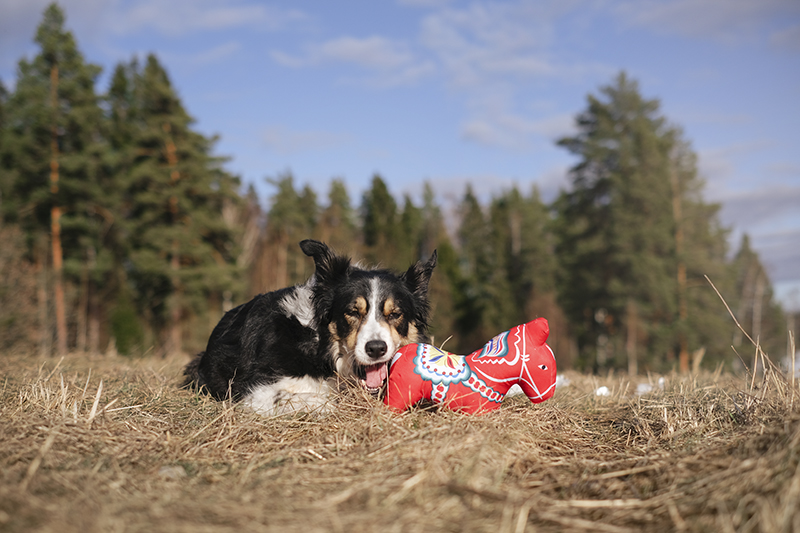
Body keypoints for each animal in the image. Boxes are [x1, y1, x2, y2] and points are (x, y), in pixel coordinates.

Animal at [182, 238, 438, 416]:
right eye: (352, 312)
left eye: (395, 314)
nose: (376, 349)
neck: (320, 346)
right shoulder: (255, 392)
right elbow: (314, 399)